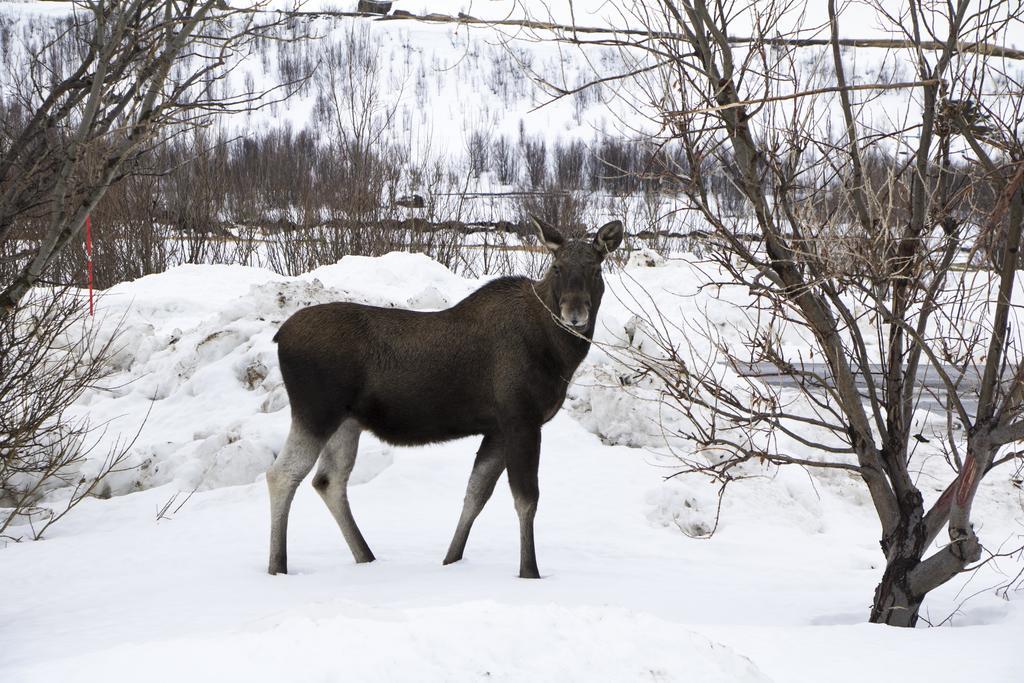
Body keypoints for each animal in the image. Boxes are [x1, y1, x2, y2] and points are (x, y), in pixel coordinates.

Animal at [268, 218, 622, 577]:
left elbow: (476, 493)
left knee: (328, 480)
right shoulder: (521, 418)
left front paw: (451, 559)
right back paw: (278, 565)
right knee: (282, 474)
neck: (559, 355)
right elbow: (526, 499)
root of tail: (279, 336)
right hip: (316, 411)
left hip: (346, 421)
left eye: (596, 269)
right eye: (557, 267)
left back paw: (364, 555)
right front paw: (530, 571)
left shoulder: (498, 428)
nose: (574, 313)